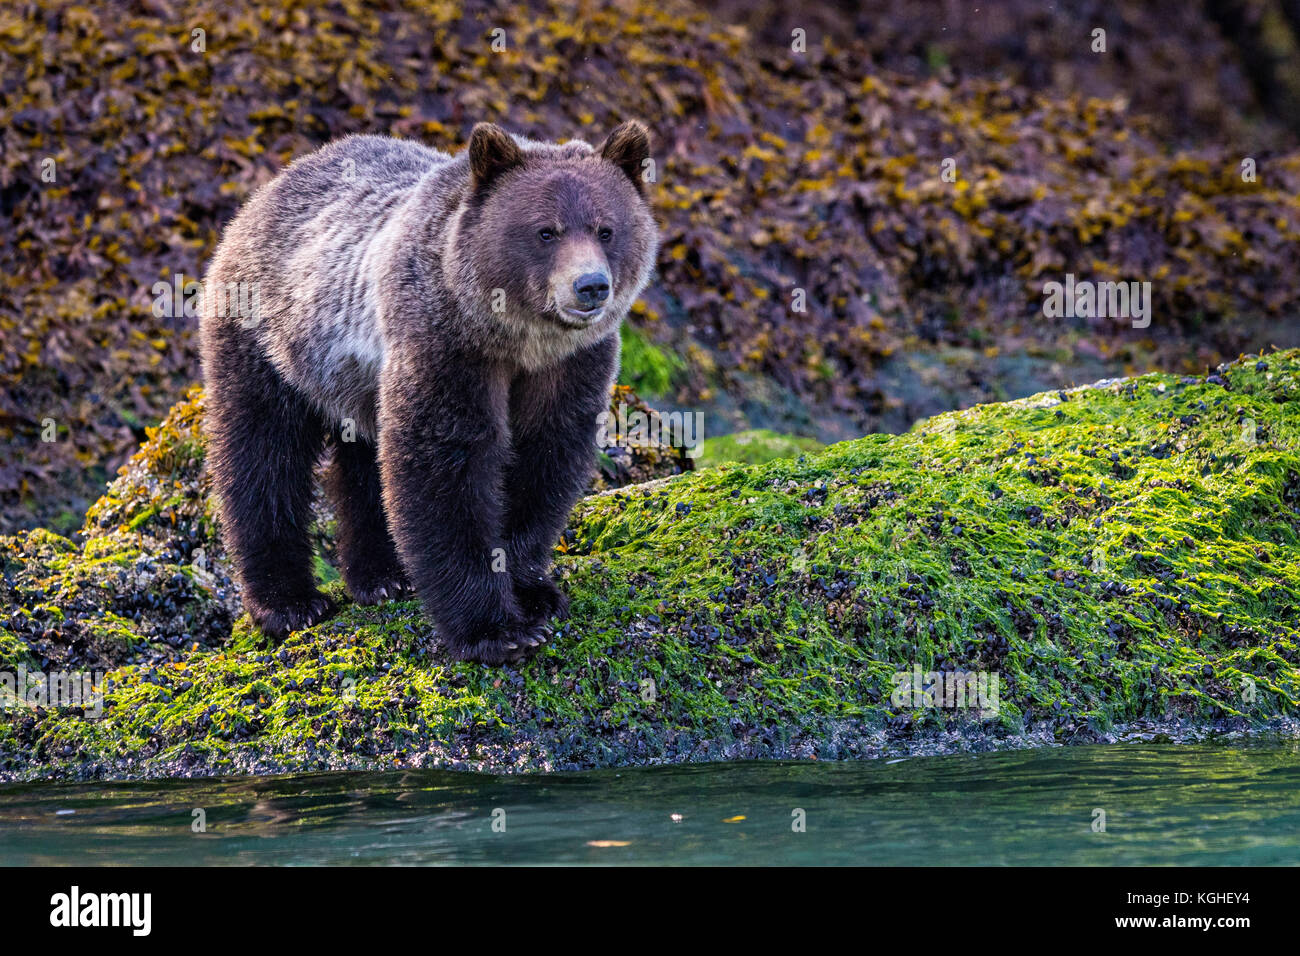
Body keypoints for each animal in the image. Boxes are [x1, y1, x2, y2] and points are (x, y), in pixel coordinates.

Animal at [201, 123, 660, 665]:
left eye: (606, 229)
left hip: (357, 379)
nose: (590, 286)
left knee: (363, 464)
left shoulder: (571, 365)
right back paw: (289, 603)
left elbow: (544, 460)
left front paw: (533, 592)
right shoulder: (444, 342)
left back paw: (381, 576)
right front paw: (495, 630)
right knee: (262, 454)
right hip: (271, 340)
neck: (518, 342)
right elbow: (444, 466)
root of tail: (268, 191)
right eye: (546, 231)